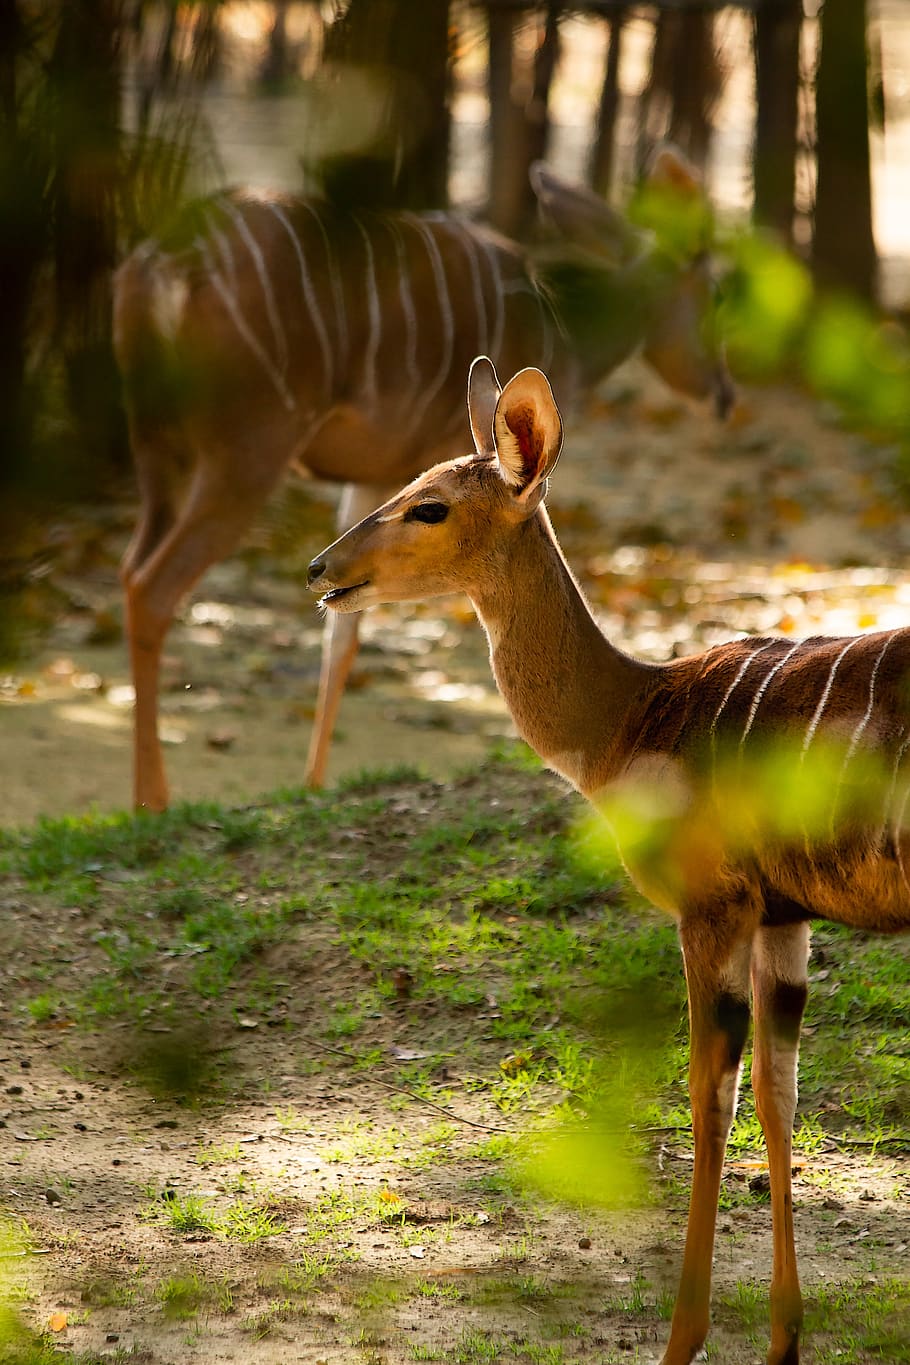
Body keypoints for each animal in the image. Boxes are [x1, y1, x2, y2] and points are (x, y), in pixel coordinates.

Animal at [114, 147, 733, 812]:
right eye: (713, 292)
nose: (725, 393)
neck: (562, 333)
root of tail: (159, 265)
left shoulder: (378, 478)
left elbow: (343, 630)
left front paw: (313, 784)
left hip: (155, 451)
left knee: (130, 568)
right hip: (248, 451)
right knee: (154, 585)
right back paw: (152, 799)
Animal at [305, 357, 910, 1365]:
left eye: (429, 505)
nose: (322, 569)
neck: (632, 715)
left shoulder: (710, 908)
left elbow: (710, 1103)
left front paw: (682, 1339)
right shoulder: (783, 917)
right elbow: (779, 1096)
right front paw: (784, 1340)